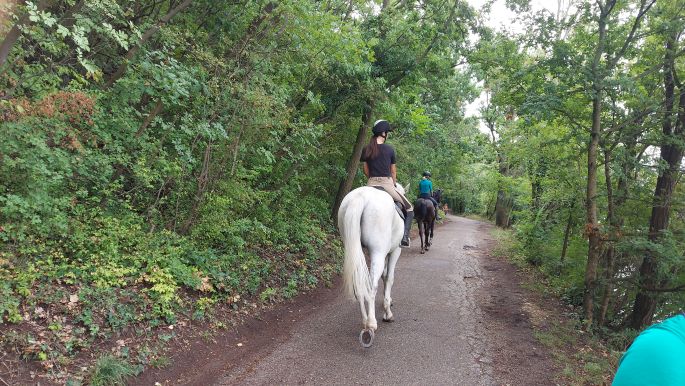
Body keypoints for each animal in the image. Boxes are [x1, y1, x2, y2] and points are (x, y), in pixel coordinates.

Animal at [336, 182, 406, 348]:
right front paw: (387, 312)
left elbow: (384, 276)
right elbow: (389, 278)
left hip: (354, 248)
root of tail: (359, 197)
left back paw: (365, 321)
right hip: (378, 252)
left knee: (360, 286)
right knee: (372, 287)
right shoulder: (395, 251)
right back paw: (371, 323)